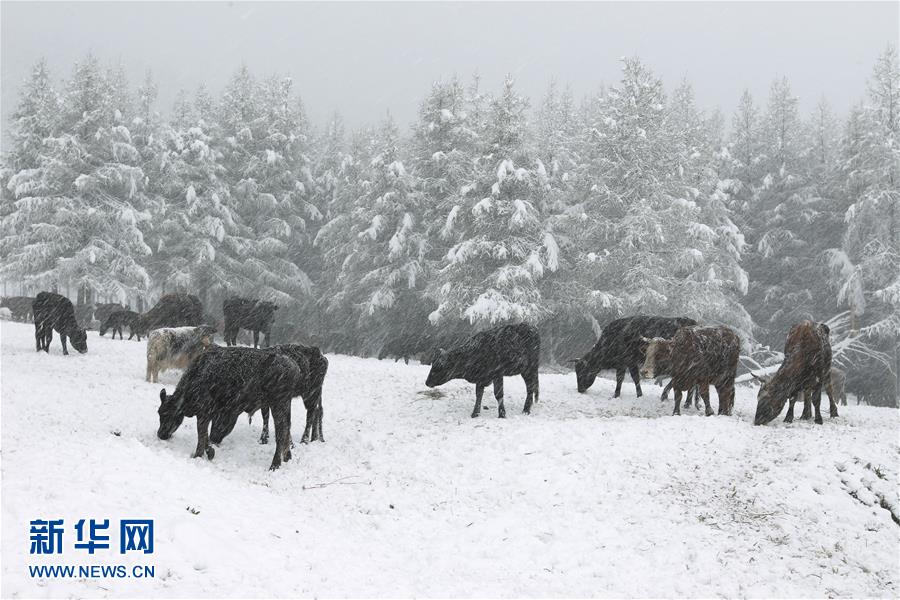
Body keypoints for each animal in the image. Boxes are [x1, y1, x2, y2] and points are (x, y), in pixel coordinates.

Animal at [156, 344, 328, 472]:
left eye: (166, 413)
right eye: (159, 412)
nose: (160, 434)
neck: (199, 374)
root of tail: (295, 366)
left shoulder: (204, 412)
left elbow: (202, 434)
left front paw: (200, 454)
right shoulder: (213, 414)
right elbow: (207, 435)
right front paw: (209, 451)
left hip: (289, 401)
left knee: (285, 429)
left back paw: (276, 463)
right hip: (287, 403)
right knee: (290, 427)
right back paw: (288, 455)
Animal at [572, 316, 700, 396]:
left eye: (582, 371)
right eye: (576, 371)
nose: (580, 389)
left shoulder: (623, 362)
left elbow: (622, 379)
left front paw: (617, 395)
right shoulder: (630, 363)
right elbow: (635, 378)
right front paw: (639, 394)